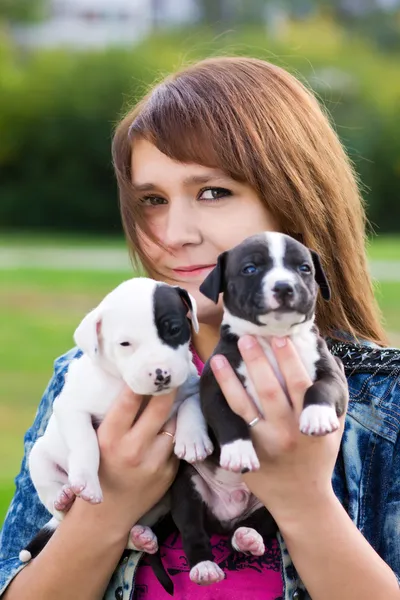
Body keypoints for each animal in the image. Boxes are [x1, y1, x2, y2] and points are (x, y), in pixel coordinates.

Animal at [169, 233, 346, 584]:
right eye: (250, 268)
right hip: (187, 489)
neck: (271, 341)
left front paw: (317, 415)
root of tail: (226, 517)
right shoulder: (216, 386)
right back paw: (204, 566)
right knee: (193, 529)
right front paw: (239, 451)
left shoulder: (332, 374)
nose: (284, 287)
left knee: (258, 525)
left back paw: (247, 538)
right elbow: (228, 419)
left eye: (304, 268)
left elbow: (321, 388)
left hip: (277, 504)